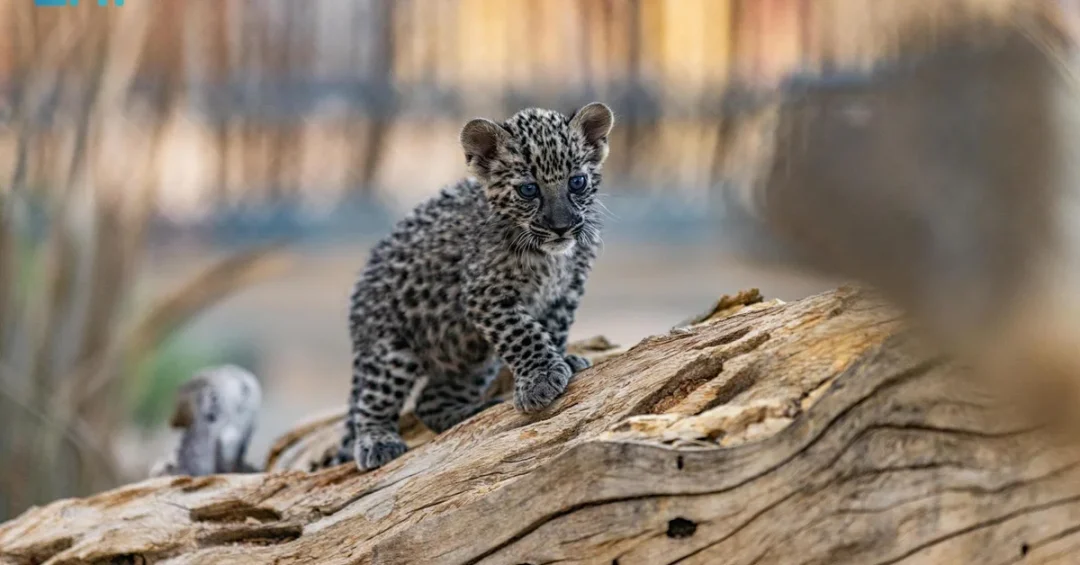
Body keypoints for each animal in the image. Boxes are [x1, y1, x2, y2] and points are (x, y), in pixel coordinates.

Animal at [333, 102, 615, 471]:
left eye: (577, 182)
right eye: (528, 189)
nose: (561, 227)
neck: (551, 257)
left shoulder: (566, 292)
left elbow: (552, 328)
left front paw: (561, 362)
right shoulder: (486, 295)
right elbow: (523, 333)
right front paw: (540, 378)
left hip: (474, 359)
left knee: (428, 403)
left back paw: (472, 412)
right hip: (392, 352)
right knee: (371, 403)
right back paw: (377, 441)